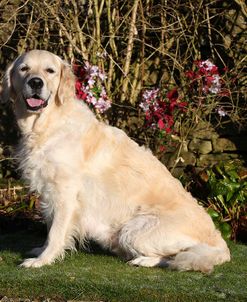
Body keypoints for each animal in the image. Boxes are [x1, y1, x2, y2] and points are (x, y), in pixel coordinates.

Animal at [0, 49, 231, 272]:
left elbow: (56, 231)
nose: (35, 82)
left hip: (133, 231)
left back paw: (143, 260)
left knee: (179, 256)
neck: (46, 124)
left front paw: (42, 260)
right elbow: (50, 227)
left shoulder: (65, 191)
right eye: (24, 69)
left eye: (50, 70)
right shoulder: (49, 190)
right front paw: (41, 250)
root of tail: (221, 245)